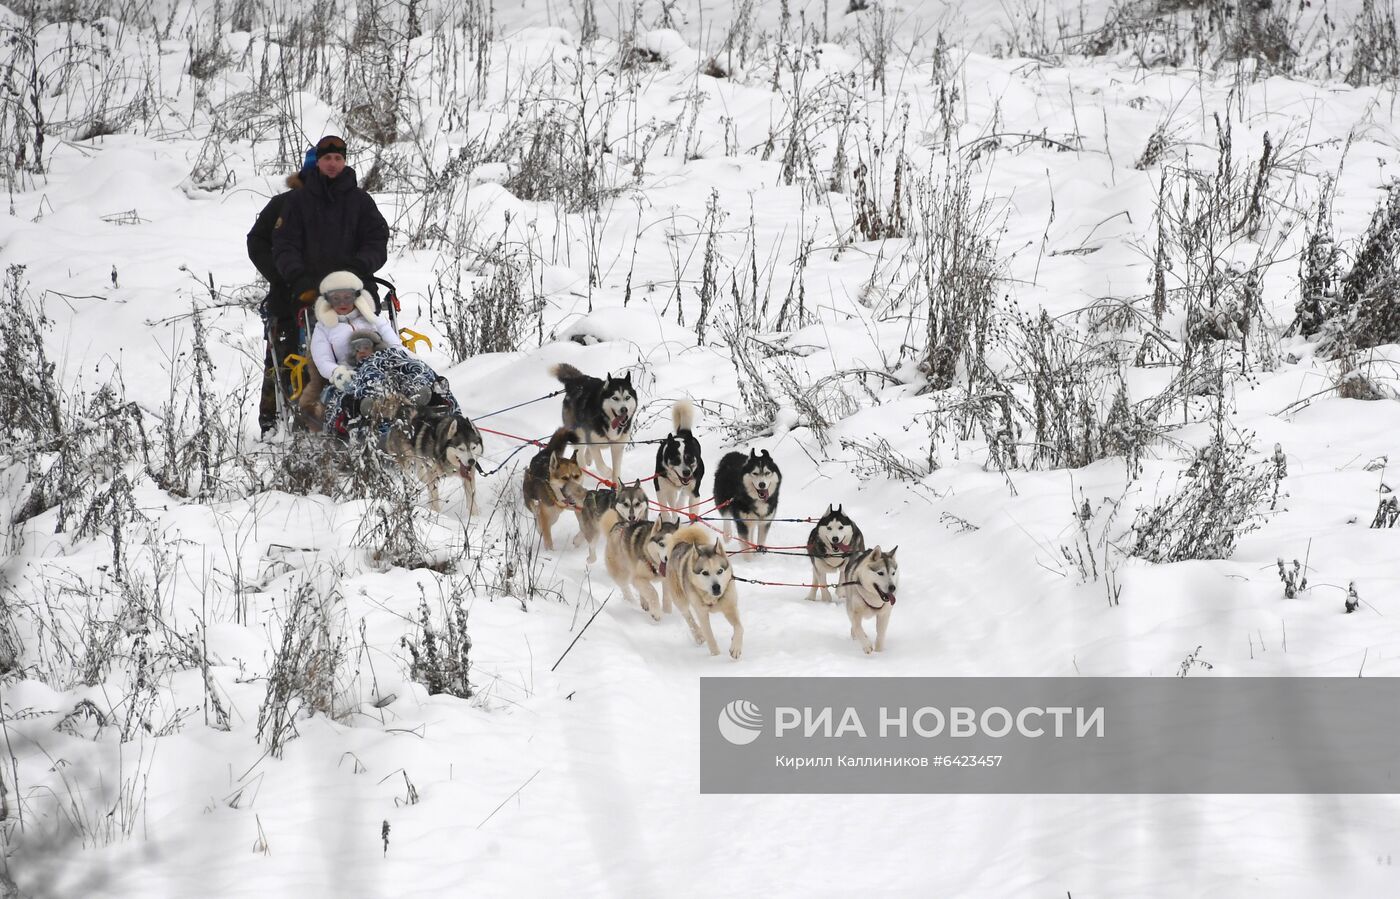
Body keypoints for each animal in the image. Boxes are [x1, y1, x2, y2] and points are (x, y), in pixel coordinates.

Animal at [663, 526, 744, 658]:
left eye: (720, 571)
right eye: (705, 573)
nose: (716, 587)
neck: (713, 599)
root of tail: (681, 544)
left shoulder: (729, 607)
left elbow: (739, 627)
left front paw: (735, 647)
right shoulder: (702, 613)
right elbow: (709, 635)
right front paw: (716, 656)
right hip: (680, 599)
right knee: (688, 617)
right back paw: (698, 635)